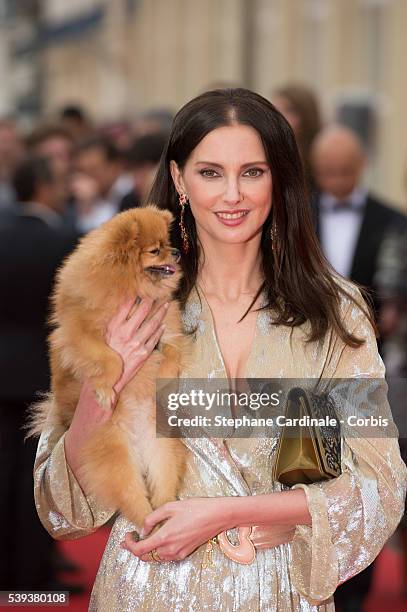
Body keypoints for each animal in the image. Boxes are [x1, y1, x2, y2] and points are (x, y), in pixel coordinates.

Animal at [28, 206, 191, 532]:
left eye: (168, 243)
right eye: (155, 250)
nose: (177, 252)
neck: (133, 290)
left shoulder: (167, 329)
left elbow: (170, 355)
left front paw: (165, 382)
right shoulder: (78, 334)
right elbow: (110, 359)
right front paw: (105, 390)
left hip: (162, 448)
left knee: (162, 490)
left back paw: (164, 519)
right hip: (115, 457)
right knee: (132, 499)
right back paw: (149, 524)